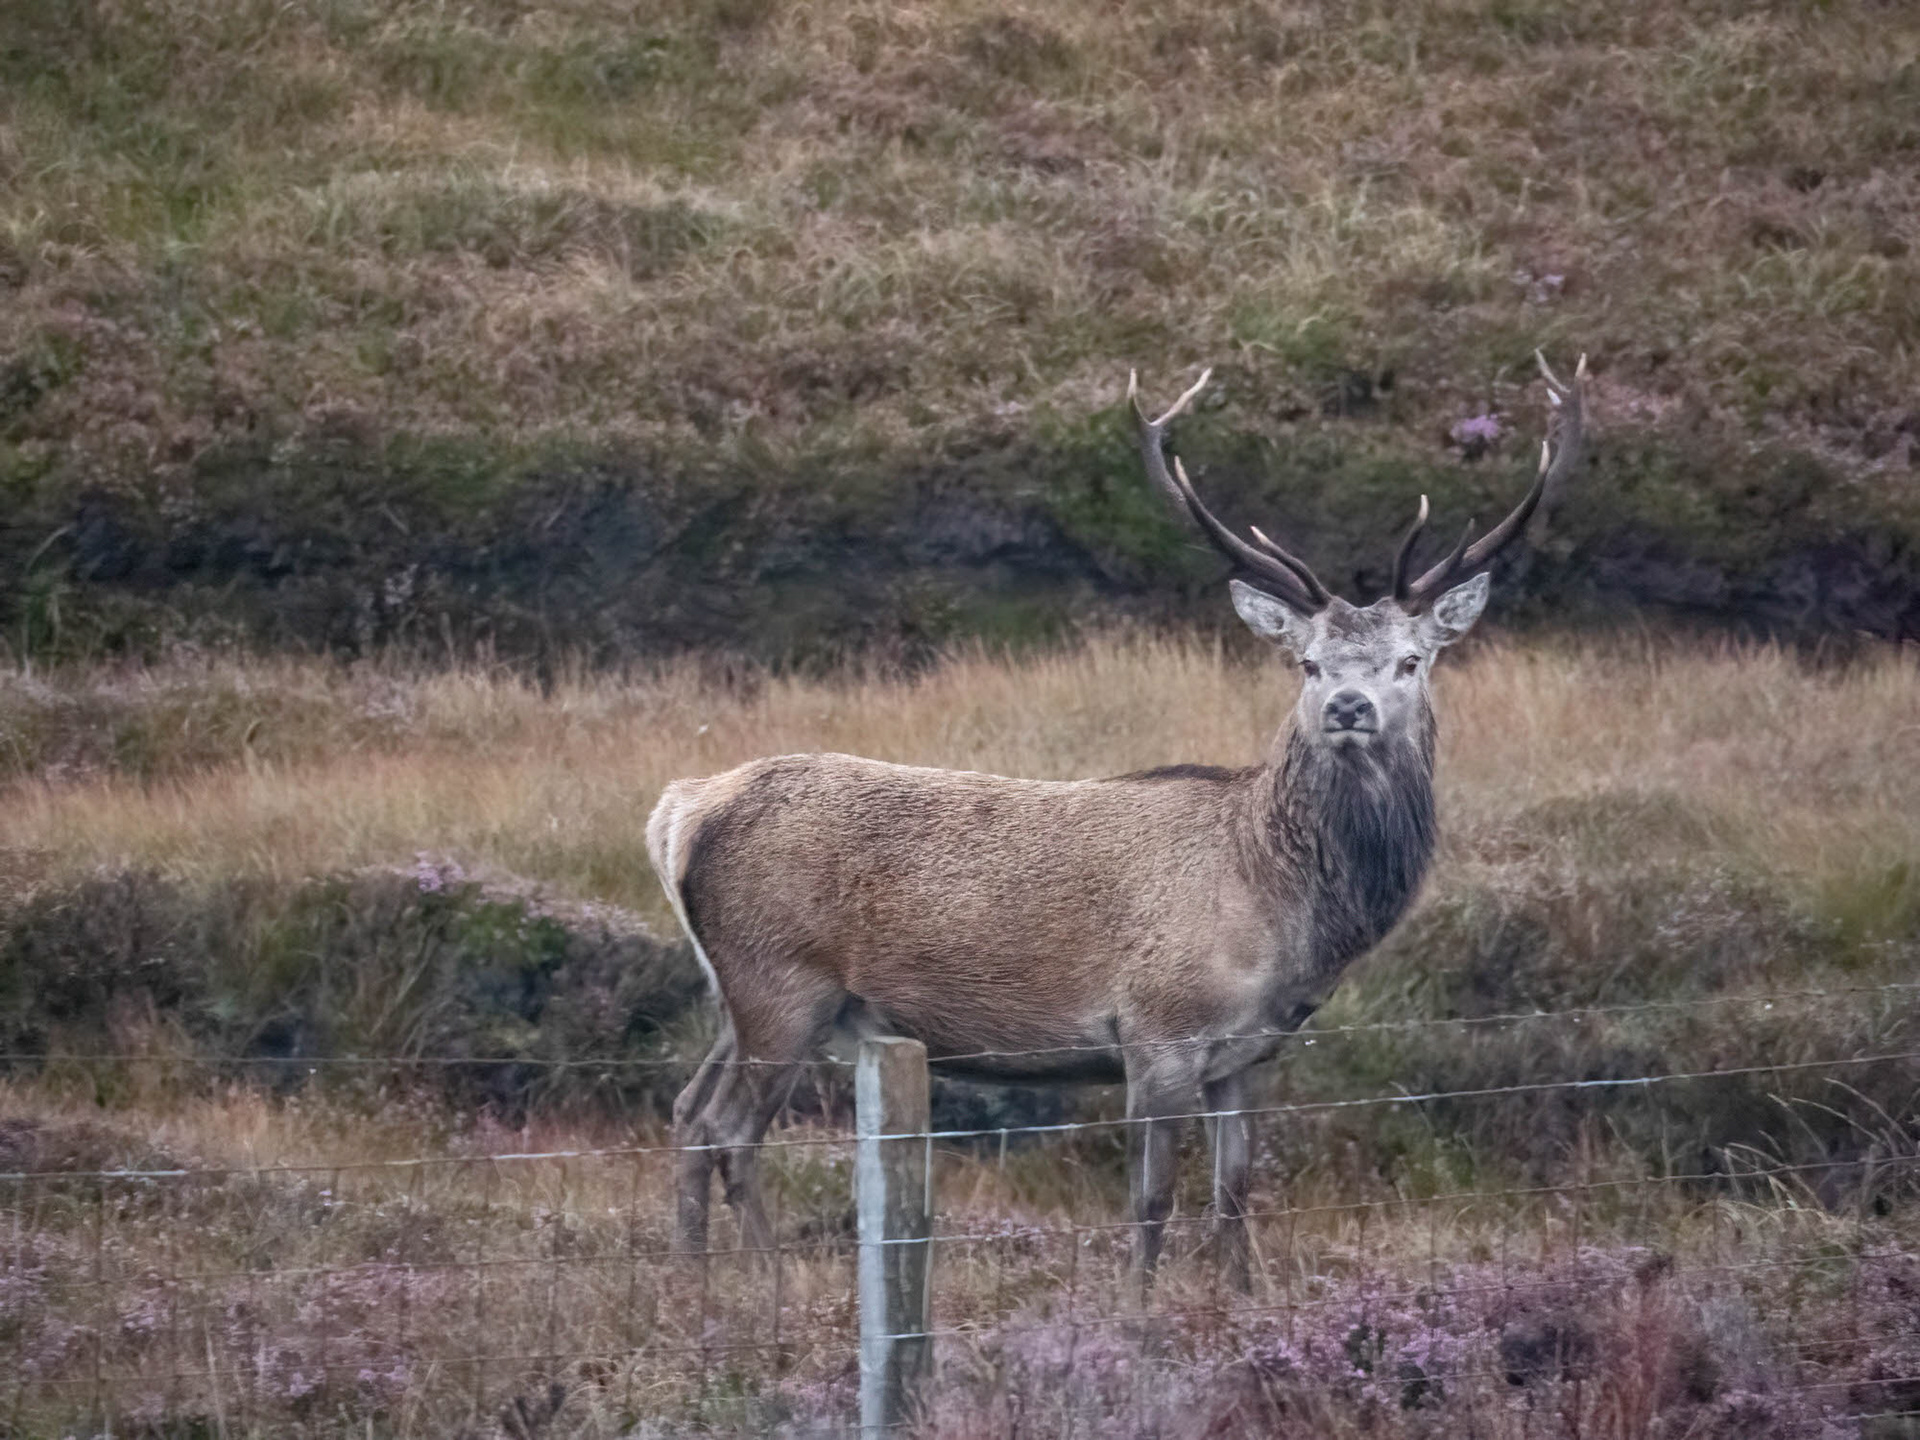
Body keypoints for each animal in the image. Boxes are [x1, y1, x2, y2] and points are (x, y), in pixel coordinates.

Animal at [647, 352, 1587, 1288]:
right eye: (1308, 662)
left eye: (1412, 659)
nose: (1349, 707)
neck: (1284, 908)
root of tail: (682, 809)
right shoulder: (1157, 1031)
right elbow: (1151, 1200)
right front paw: (1140, 1303)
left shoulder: (1249, 1056)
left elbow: (1234, 1195)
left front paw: (1241, 1298)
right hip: (782, 982)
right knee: (731, 1130)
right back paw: (765, 1280)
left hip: (739, 994)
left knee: (689, 1110)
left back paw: (695, 1280)